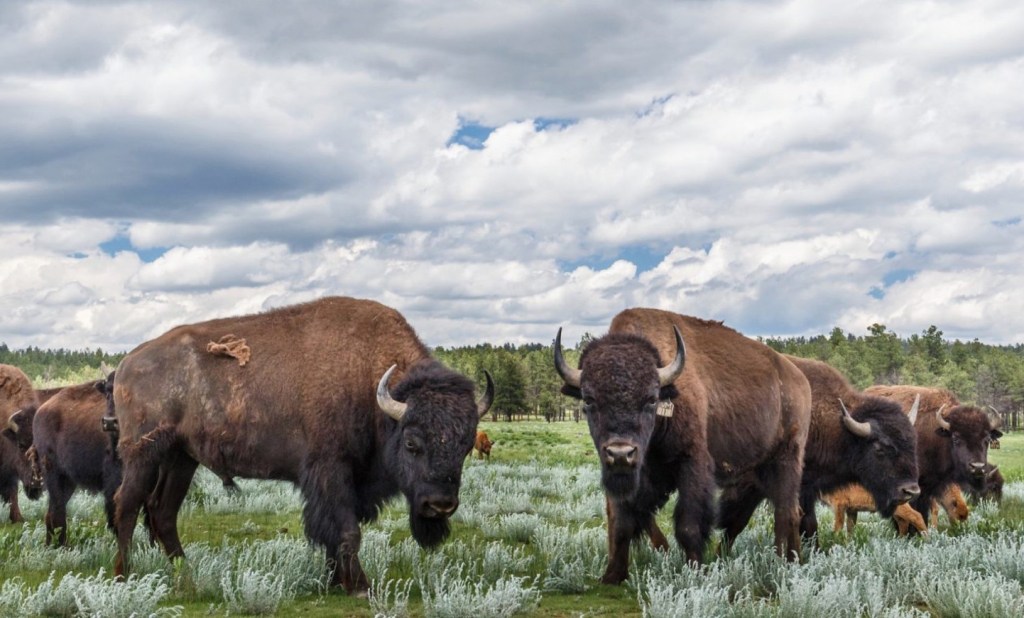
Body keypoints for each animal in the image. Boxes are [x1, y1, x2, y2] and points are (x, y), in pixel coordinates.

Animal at [110, 296, 493, 597]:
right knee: (126, 505)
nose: (440, 505)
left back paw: (185, 572)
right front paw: (360, 587)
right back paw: (123, 577)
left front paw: (335, 582)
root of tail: (127, 362)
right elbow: (346, 530)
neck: (367, 377)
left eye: (465, 446)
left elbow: (335, 532)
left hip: (181, 458)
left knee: (162, 510)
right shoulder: (330, 471)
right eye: (412, 443)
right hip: (143, 453)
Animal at [557, 309, 811, 585]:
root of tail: (800, 379)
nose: (621, 453)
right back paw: (790, 560)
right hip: (761, 467)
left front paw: (695, 571)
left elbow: (688, 524)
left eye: (651, 399)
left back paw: (786, 563)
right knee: (790, 510)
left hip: (787, 458)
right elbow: (621, 521)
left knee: (786, 512)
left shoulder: (692, 464)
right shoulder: (628, 475)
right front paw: (613, 575)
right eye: (589, 400)